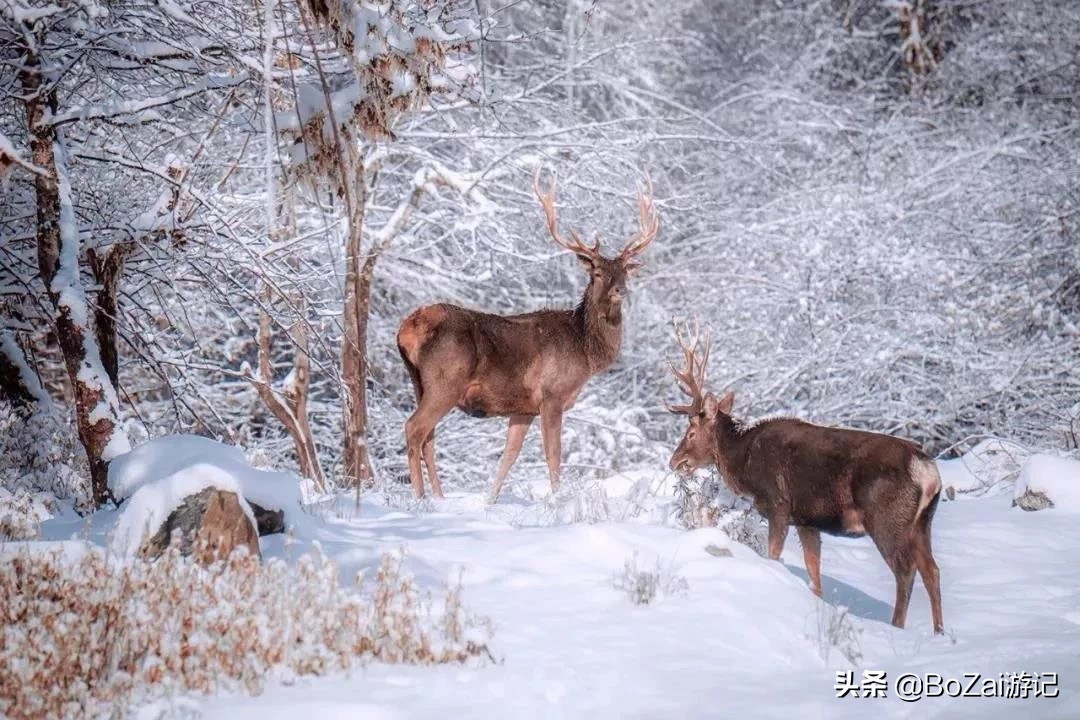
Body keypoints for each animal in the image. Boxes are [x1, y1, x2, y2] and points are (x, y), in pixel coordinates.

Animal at [393, 171, 652, 505]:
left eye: (624, 271)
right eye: (596, 272)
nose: (620, 289)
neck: (585, 350)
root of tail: (408, 327)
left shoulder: (522, 408)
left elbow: (509, 456)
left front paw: (489, 501)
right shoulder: (552, 394)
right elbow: (553, 454)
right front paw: (558, 501)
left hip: (418, 382)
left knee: (428, 437)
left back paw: (439, 498)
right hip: (444, 381)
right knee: (414, 428)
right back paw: (420, 499)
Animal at [665, 323, 946, 634]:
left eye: (691, 432)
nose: (675, 462)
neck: (743, 462)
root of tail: (928, 471)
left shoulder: (778, 504)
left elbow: (774, 556)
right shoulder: (807, 520)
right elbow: (815, 575)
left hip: (887, 519)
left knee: (905, 571)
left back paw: (897, 627)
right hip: (922, 522)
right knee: (932, 570)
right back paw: (940, 632)